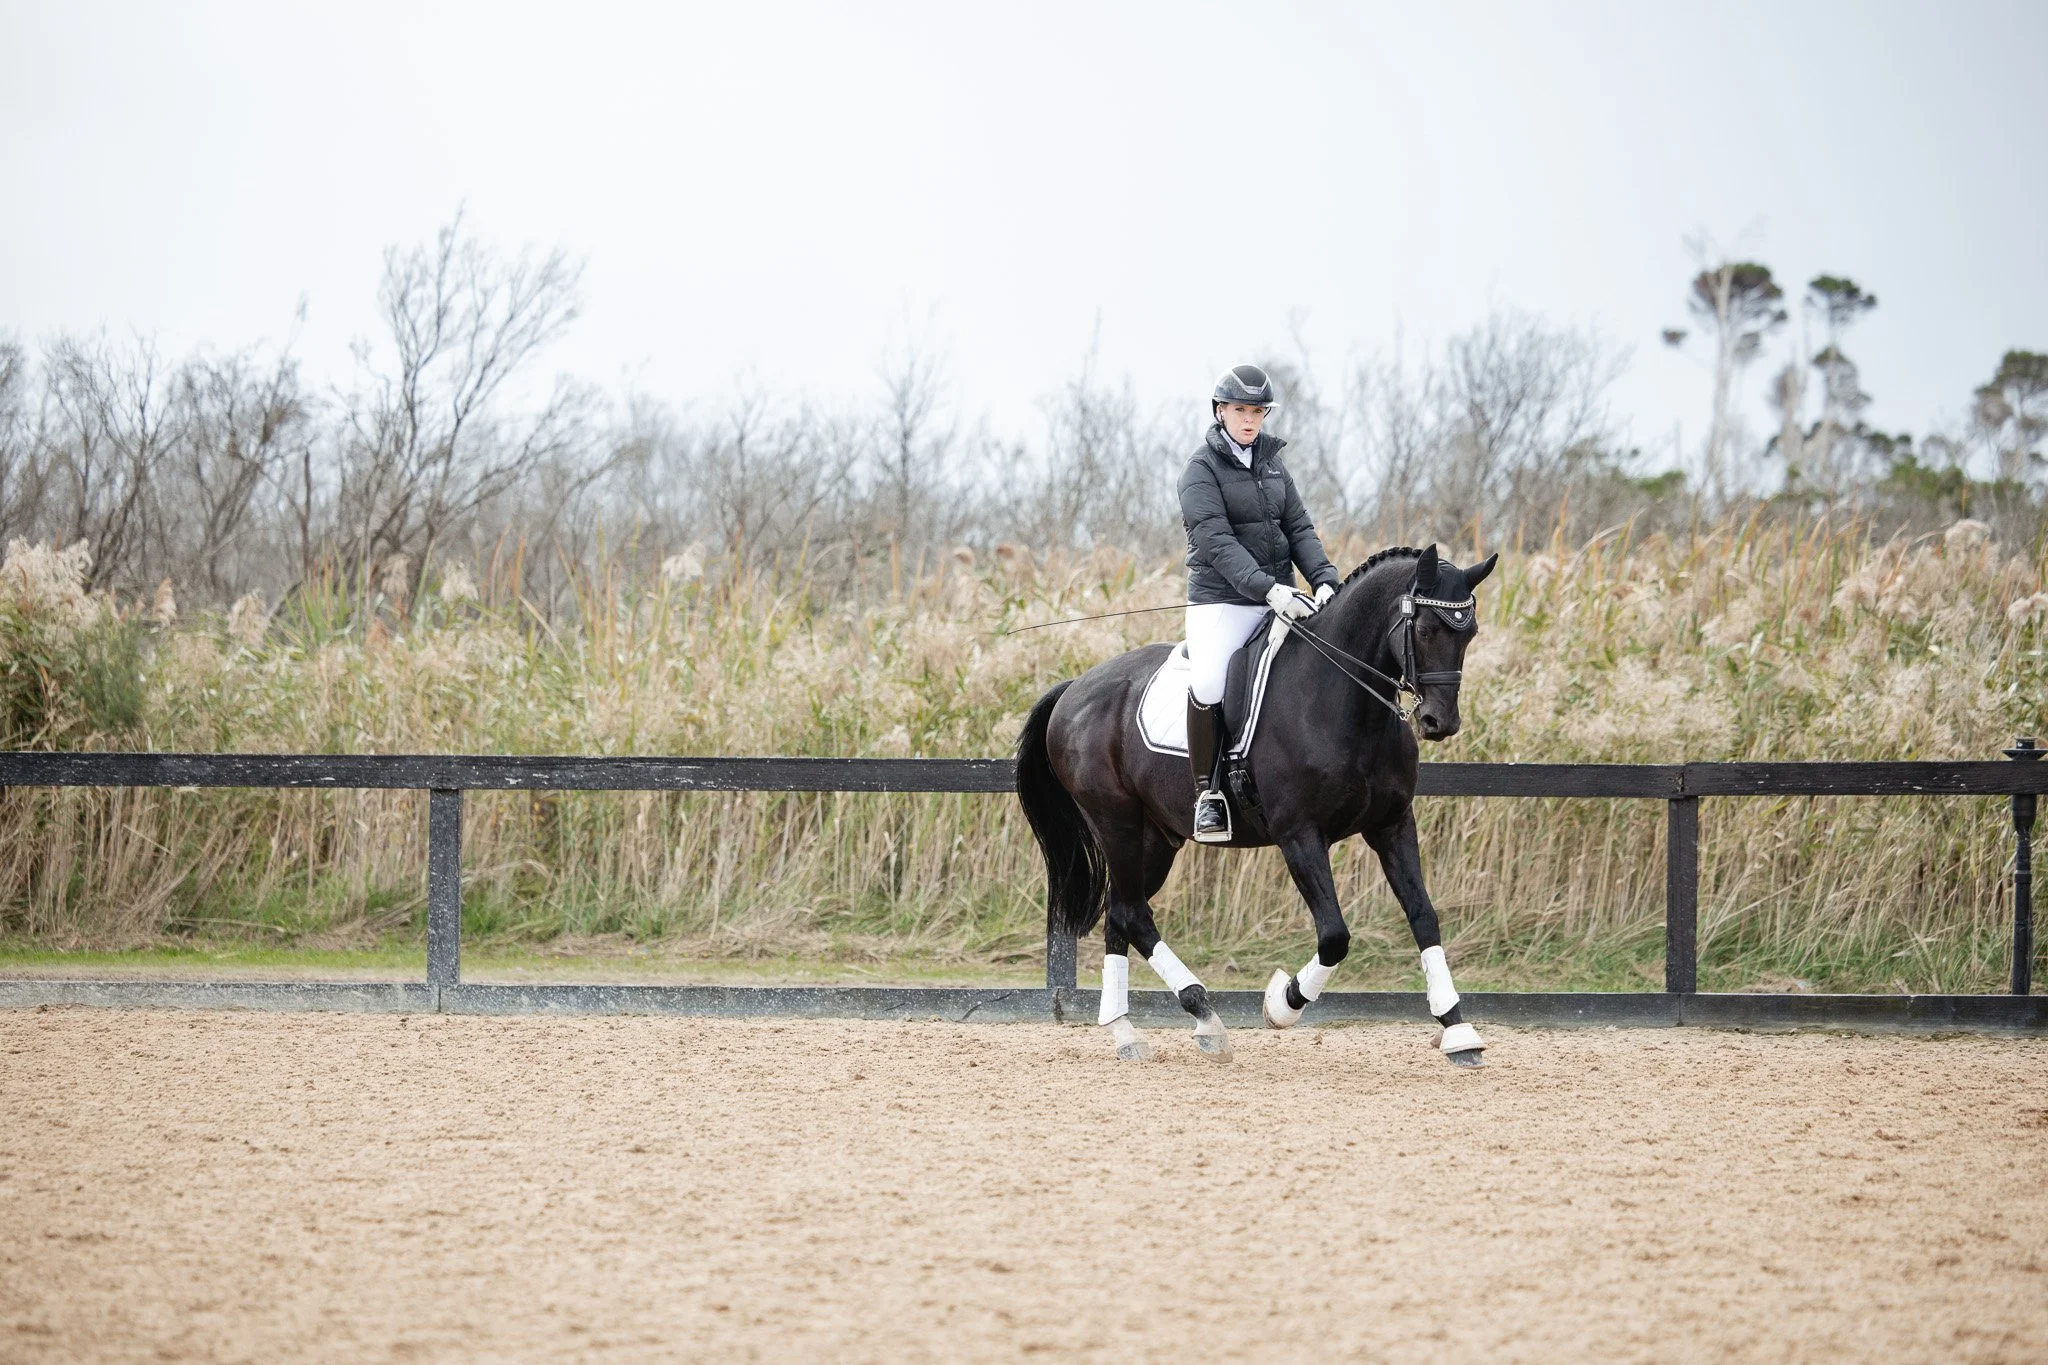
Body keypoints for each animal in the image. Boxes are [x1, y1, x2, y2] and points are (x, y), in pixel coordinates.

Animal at [1014, 544, 1498, 1065]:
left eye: (1469, 632)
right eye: (1425, 630)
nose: (1440, 722)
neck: (1341, 698)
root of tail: (1075, 688)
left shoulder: (1392, 825)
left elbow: (1424, 916)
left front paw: (1457, 1029)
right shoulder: (1299, 836)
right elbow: (1335, 936)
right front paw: (1281, 1004)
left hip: (1156, 838)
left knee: (1120, 912)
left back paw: (1128, 1032)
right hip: (1115, 823)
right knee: (1133, 914)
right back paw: (1204, 1016)